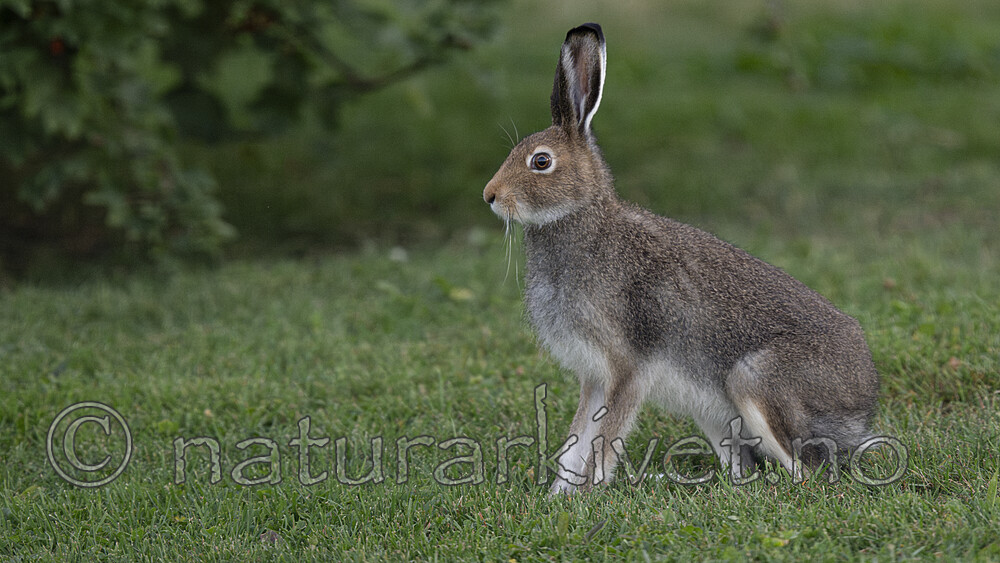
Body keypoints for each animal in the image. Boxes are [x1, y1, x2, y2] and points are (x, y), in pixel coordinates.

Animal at [482, 23, 880, 494]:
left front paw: (586, 494)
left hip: (757, 381)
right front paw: (558, 496)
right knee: (745, 471)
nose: (490, 196)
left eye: (540, 161)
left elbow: (603, 439)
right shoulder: (594, 376)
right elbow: (577, 439)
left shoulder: (627, 366)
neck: (581, 216)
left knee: (807, 472)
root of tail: (861, 409)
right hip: (713, 414)